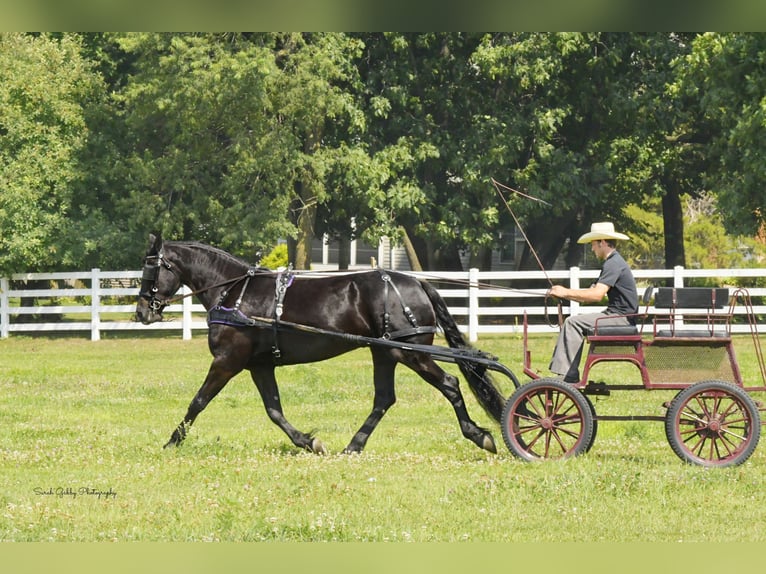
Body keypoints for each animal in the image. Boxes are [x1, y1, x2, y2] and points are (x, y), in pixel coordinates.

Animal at [136, 234, 510, 454]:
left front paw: (172, 441)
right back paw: (354, 445)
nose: (142, 311)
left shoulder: (228, 361)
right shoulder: (259, 365)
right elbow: (274, 410)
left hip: (410, 353)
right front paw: (308, 441)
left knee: (449, 384)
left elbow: (198, 402)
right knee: (384, 399)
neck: (235, 292)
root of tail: (417, 284)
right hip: (385, 353)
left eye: (150, 270)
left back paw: (480, 435)